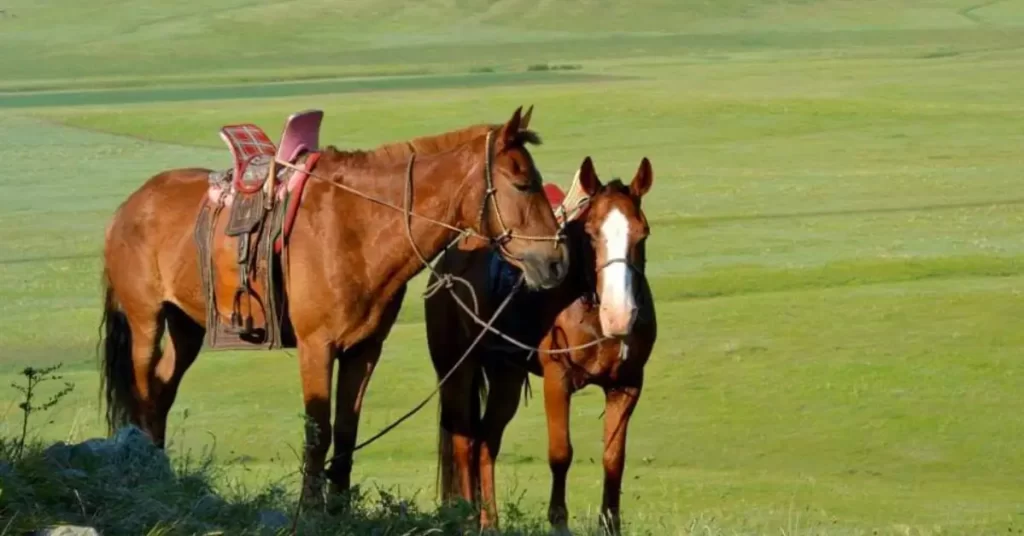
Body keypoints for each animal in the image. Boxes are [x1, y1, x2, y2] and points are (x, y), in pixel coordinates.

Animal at [97, 106, 570, 500]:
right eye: (523, 183)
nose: (556, 262)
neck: (357, 226)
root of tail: (129, 206)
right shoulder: (316, 346)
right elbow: (317, 432)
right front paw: (309, 510)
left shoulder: (363, 349)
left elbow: (345, 432)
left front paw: (339, 508)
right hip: (146, 321)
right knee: (144, 392)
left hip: (186, 327)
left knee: (162, 390)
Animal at [423, 155, 656, 532]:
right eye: (591, 234)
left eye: (642, 232)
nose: (619, 315)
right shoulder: (557, 379)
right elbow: (561, 453)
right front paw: (558, 522)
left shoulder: (627, 384)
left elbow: (613, 459)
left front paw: (610, 524)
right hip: (457, 370)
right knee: (464, 441)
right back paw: (469, 517)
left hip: (506, 376)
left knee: (486, 441)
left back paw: (490, 522)